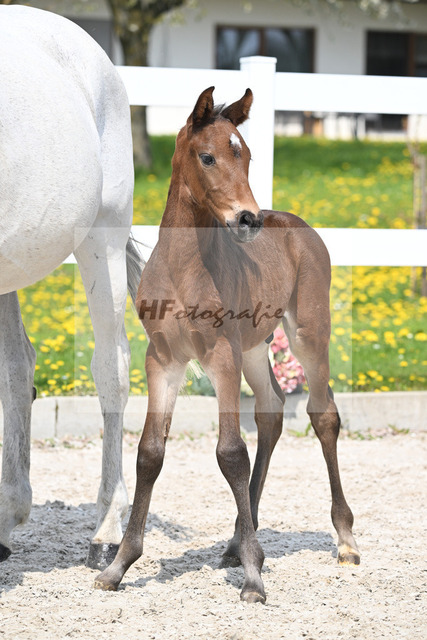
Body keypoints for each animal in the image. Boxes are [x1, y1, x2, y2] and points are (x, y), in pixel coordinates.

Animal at [94, 87, 360, 602]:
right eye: (208, 156)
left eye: (248, 156)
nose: (247, 218)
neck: (183, 267)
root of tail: (295, 223)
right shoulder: (163, 360)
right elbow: (150, 452)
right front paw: (118, 566)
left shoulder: (220, 356)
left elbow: (231, 453)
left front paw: (254, 578)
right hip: (255, 348)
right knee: (272, 410)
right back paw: (238, 541)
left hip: (307, 334)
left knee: (323, 415)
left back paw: (344, 540)